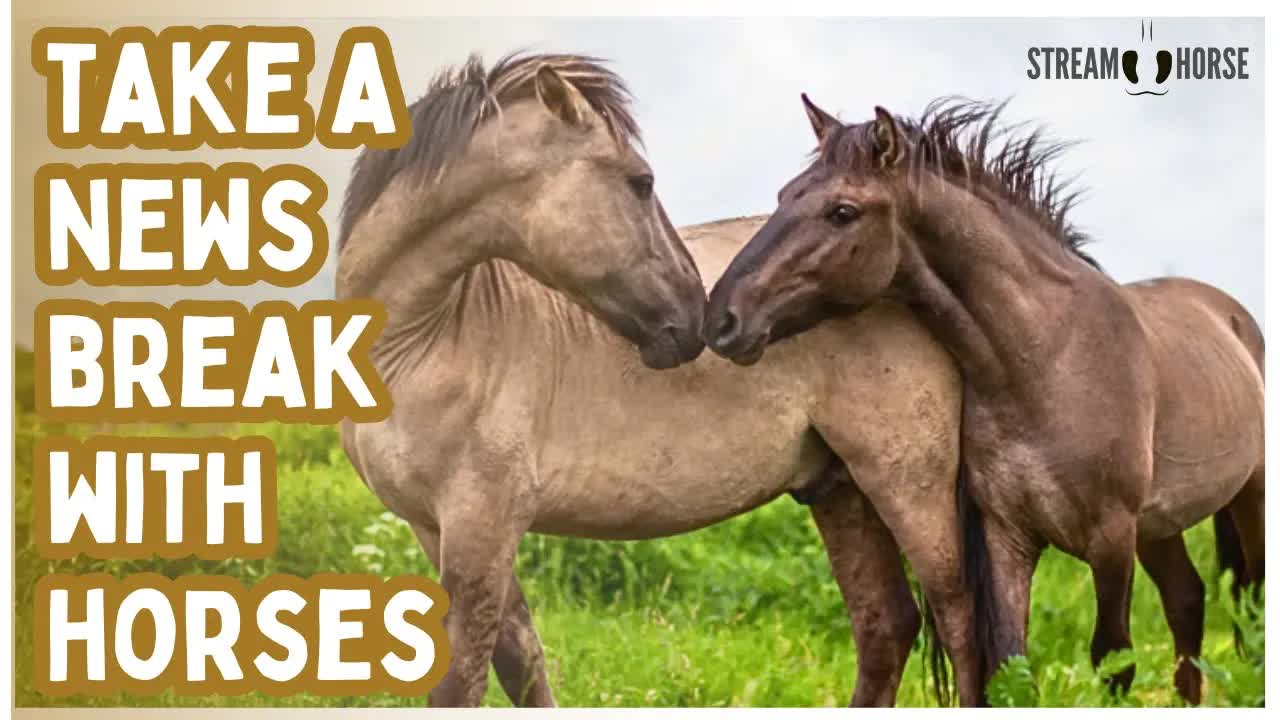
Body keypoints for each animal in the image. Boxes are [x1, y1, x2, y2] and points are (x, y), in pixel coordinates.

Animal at [336, 53, 984, 706]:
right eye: (641, 182)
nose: (698, 316)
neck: (421, 341)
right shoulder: (433, 526)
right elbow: (521, 663)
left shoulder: (482, 526)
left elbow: (463, 680)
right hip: (840, 487)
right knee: (887, 626)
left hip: (908, 483)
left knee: (957, 616)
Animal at [703, 95, 1265, 705]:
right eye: (786, 195)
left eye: (843, 211)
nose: (721, 317)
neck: (1049, 360)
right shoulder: (1007, 536)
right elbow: (1011, 666)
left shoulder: (1111, 538)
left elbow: (1113, 662)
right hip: (1160, 526)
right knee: (1187, 601)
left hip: (1245, 499)